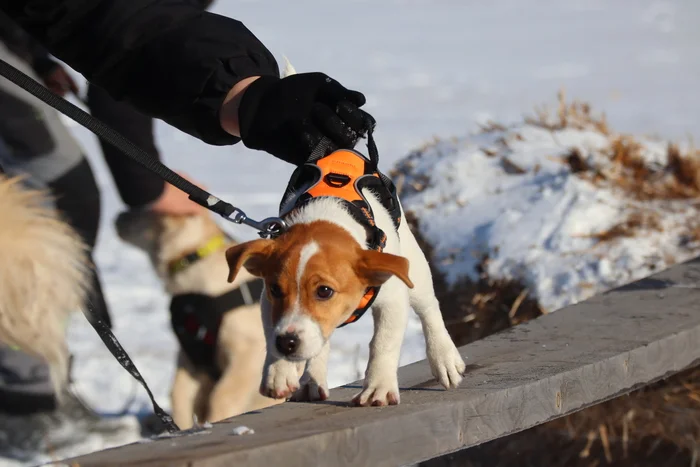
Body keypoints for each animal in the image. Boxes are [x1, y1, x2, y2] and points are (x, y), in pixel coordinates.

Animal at [113, 208, 280, 432]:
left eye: (143, 210)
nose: (117, 216)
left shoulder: (248, 351)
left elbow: (222, 395)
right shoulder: (189, 355)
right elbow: (178, 393)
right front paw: (182, 425)